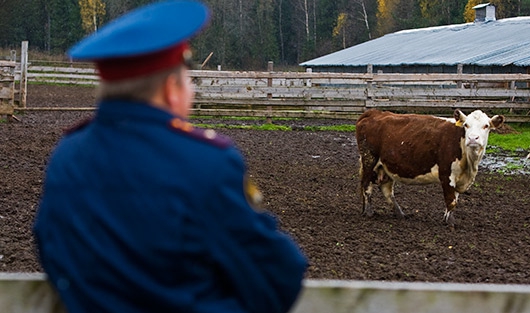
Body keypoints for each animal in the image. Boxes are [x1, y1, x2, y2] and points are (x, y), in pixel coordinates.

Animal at [354, 109, 504, 227]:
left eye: (486, 126)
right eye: (466, 125)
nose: (473, 138)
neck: (469, 164)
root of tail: (374, 112)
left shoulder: (459, 178)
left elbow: (455, 198)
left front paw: (448, 218)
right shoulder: (446, 174)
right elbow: (451, 200)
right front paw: (450, 223)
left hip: (386, 166)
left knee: (387, 190)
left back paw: (400, 214)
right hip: (369, 160)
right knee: (367, 186)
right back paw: (369, 212)